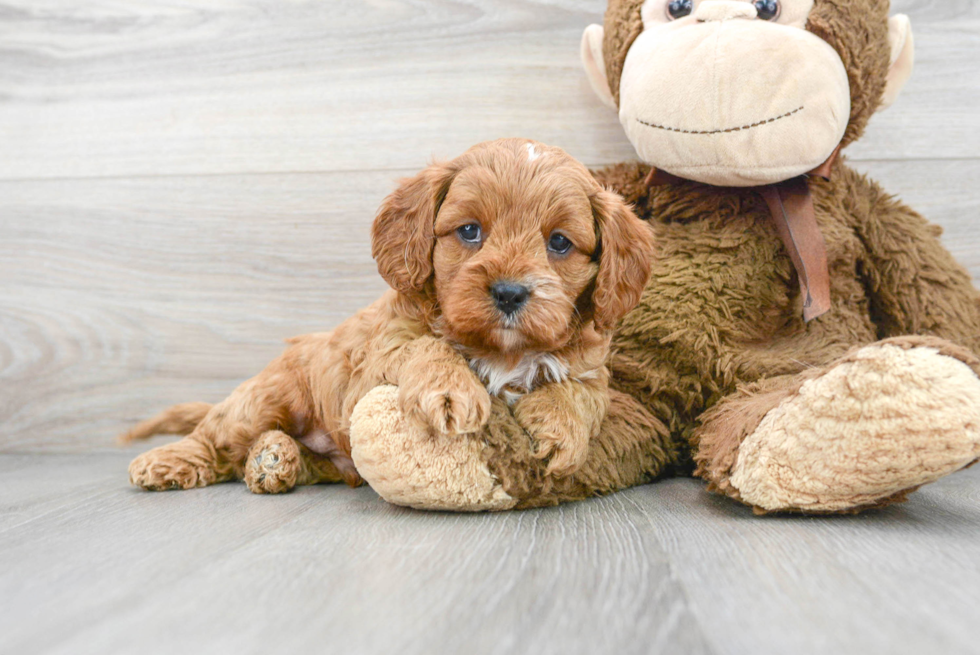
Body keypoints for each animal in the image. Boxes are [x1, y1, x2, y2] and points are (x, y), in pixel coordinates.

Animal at [124, 140, 660, 498]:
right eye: (470, 231)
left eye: (560, 243)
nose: (509, 292)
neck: (500, 351)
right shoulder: (374, 364)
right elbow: (428, 344)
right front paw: (450, 388)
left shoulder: (592, 368)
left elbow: (581, 391)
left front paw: (561, 429)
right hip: (267, 397)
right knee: (214, 435)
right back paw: (167, 461)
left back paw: (274, 460)